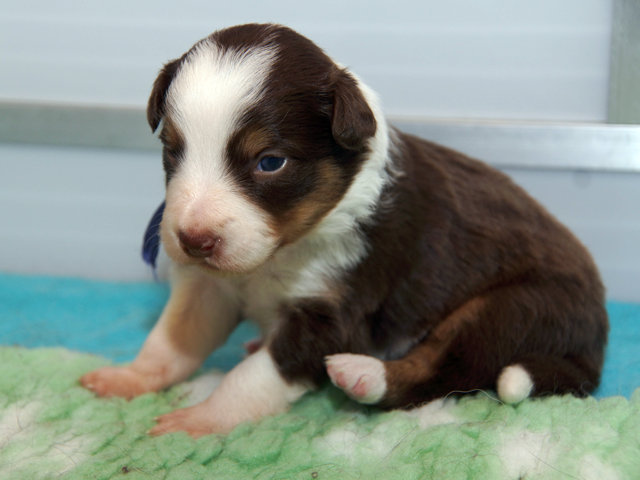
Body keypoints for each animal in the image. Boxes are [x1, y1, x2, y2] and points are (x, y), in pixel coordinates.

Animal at [81, 23, 608, 437]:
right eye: (173, 150)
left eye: (270, 162)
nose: (193, 240)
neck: (281, 254)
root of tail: (592, 349)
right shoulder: (210, 288)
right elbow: (172, 340)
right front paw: (127, 378)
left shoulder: (333, 312)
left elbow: (253, 376)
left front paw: (201, 419)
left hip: (507, 308)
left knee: (446, 372)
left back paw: (364, 375)